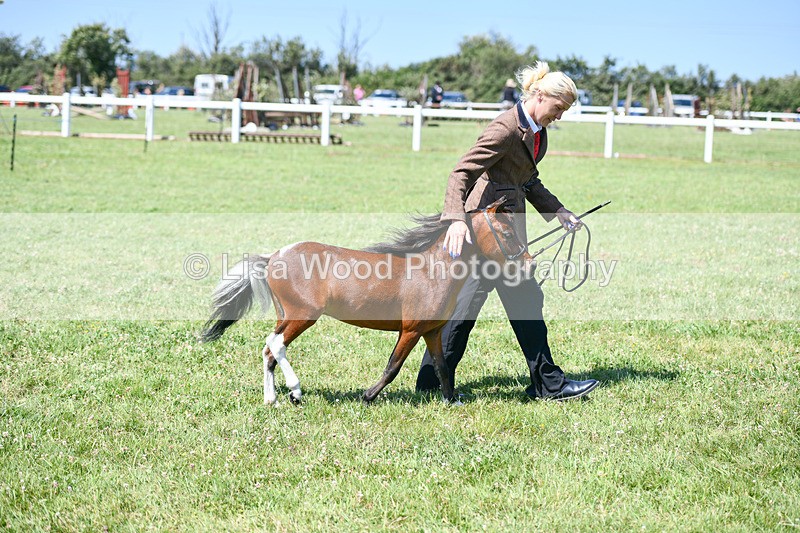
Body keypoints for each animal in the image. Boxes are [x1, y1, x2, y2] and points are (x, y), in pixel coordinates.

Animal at [200, 197, 534, 405]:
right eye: (506, 232)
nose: (528, 264)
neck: (432, 271)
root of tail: (273, 256)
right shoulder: (411, 330)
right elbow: (393, 366)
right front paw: (368, 396)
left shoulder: (432, 332)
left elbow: (442, 367)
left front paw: (451, 400)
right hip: (302, 316)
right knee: (277, 344)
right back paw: (295, 392)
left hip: (286, 316)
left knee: (269, 349)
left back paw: (272, 399)